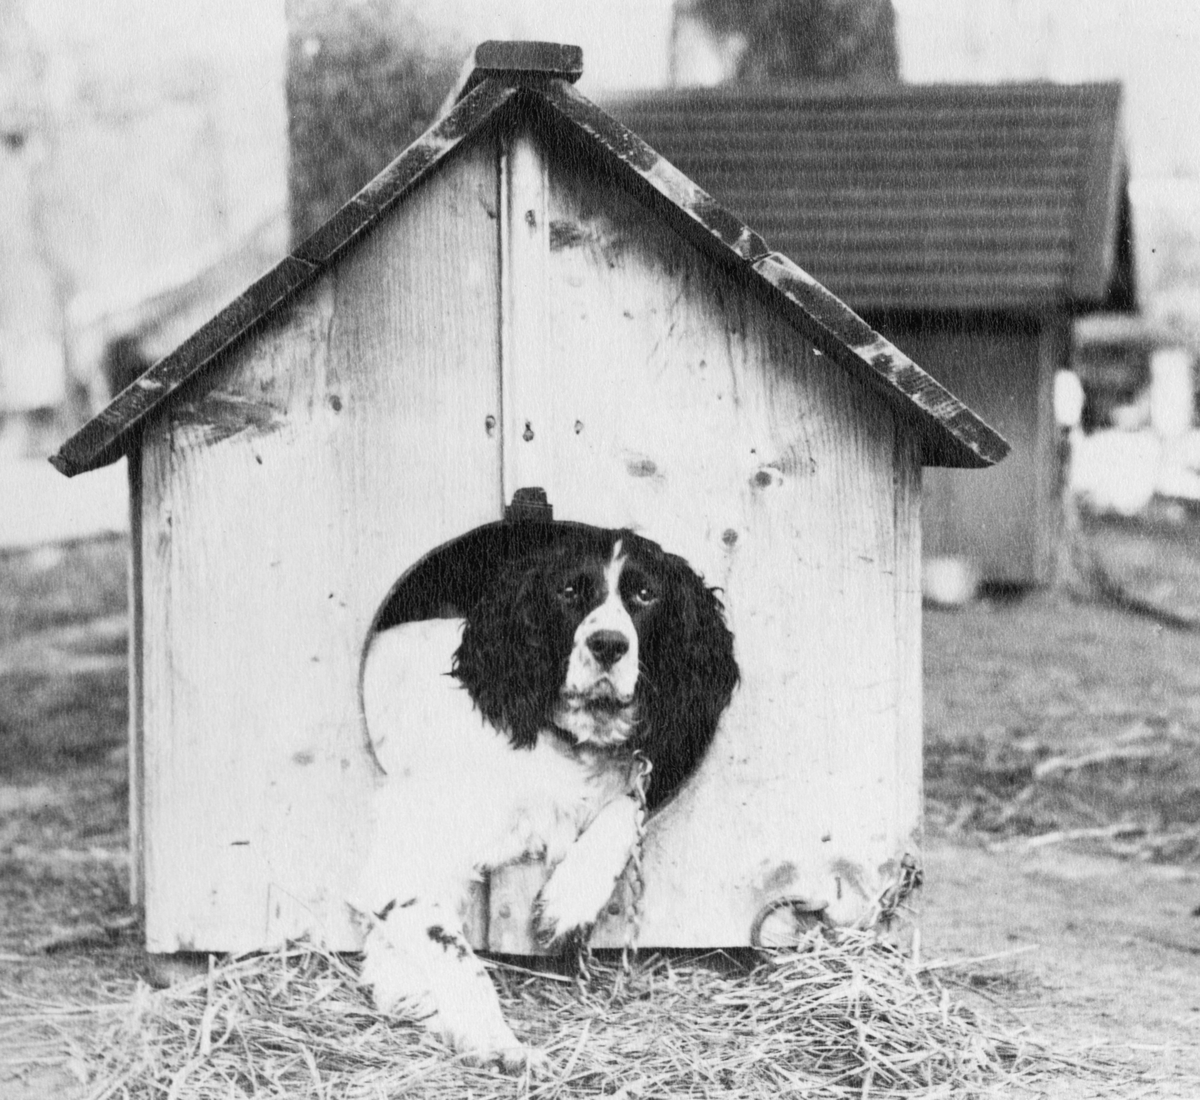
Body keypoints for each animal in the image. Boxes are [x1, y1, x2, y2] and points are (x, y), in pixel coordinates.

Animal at [353, 526, 738, 1069]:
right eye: (569, 591)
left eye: (646, 594)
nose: (608, 644)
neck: (570, 747)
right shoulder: (409, 859)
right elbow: (453, 953)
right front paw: (494, 1039)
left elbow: (627, 808)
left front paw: (567, 901)